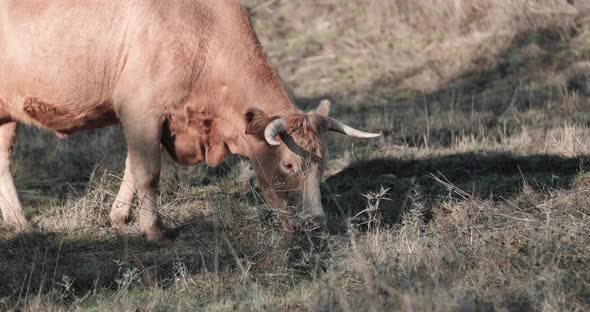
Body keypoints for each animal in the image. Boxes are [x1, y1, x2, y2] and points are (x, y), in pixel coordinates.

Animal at [0, 0, 380, 241]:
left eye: (322, 163)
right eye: (289, 164)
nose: (316, 223)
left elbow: (131, 165)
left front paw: (120, 216)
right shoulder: (140, 109)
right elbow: (147, 172)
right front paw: (154, 230)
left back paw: (19, 223)